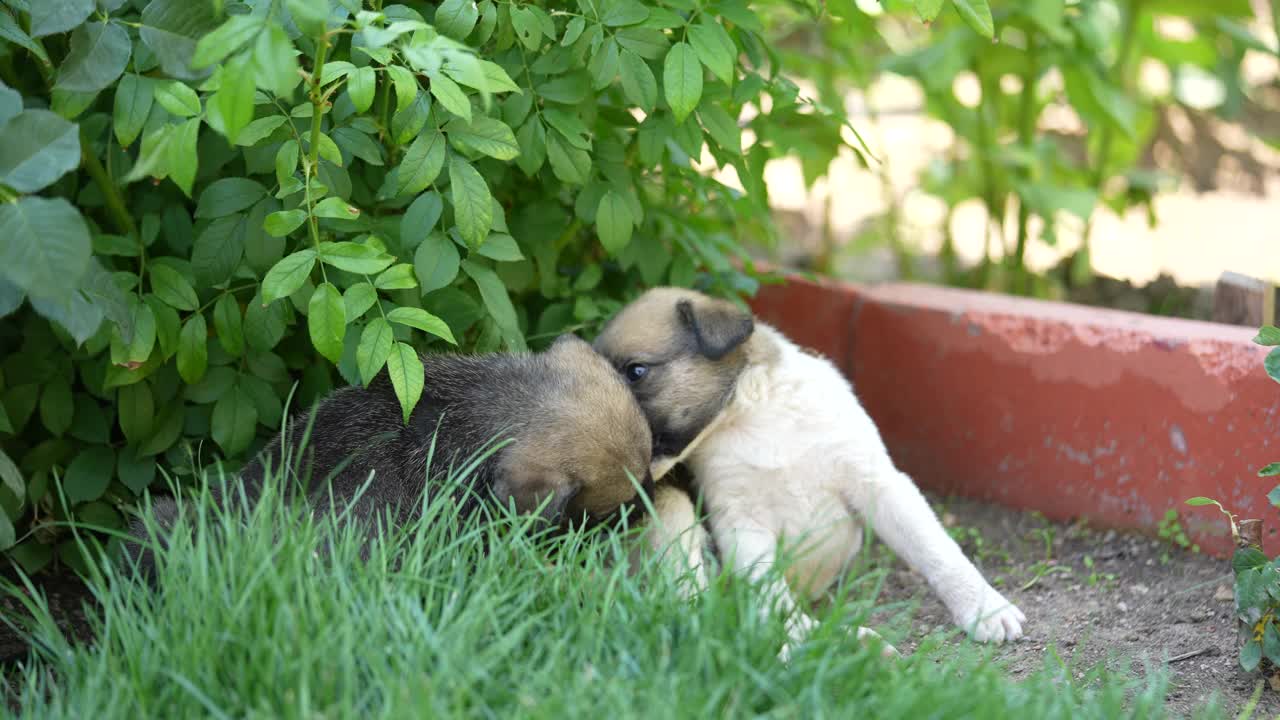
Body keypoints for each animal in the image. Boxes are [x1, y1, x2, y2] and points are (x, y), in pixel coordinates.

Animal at [593, 284, 1024, 655]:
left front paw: (985, 607)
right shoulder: (741, 521)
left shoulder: (878, 483)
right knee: (699, 609)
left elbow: (938, 551)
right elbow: (770, 590)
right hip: (673, 514)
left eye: (635, 371)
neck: (753, 415)